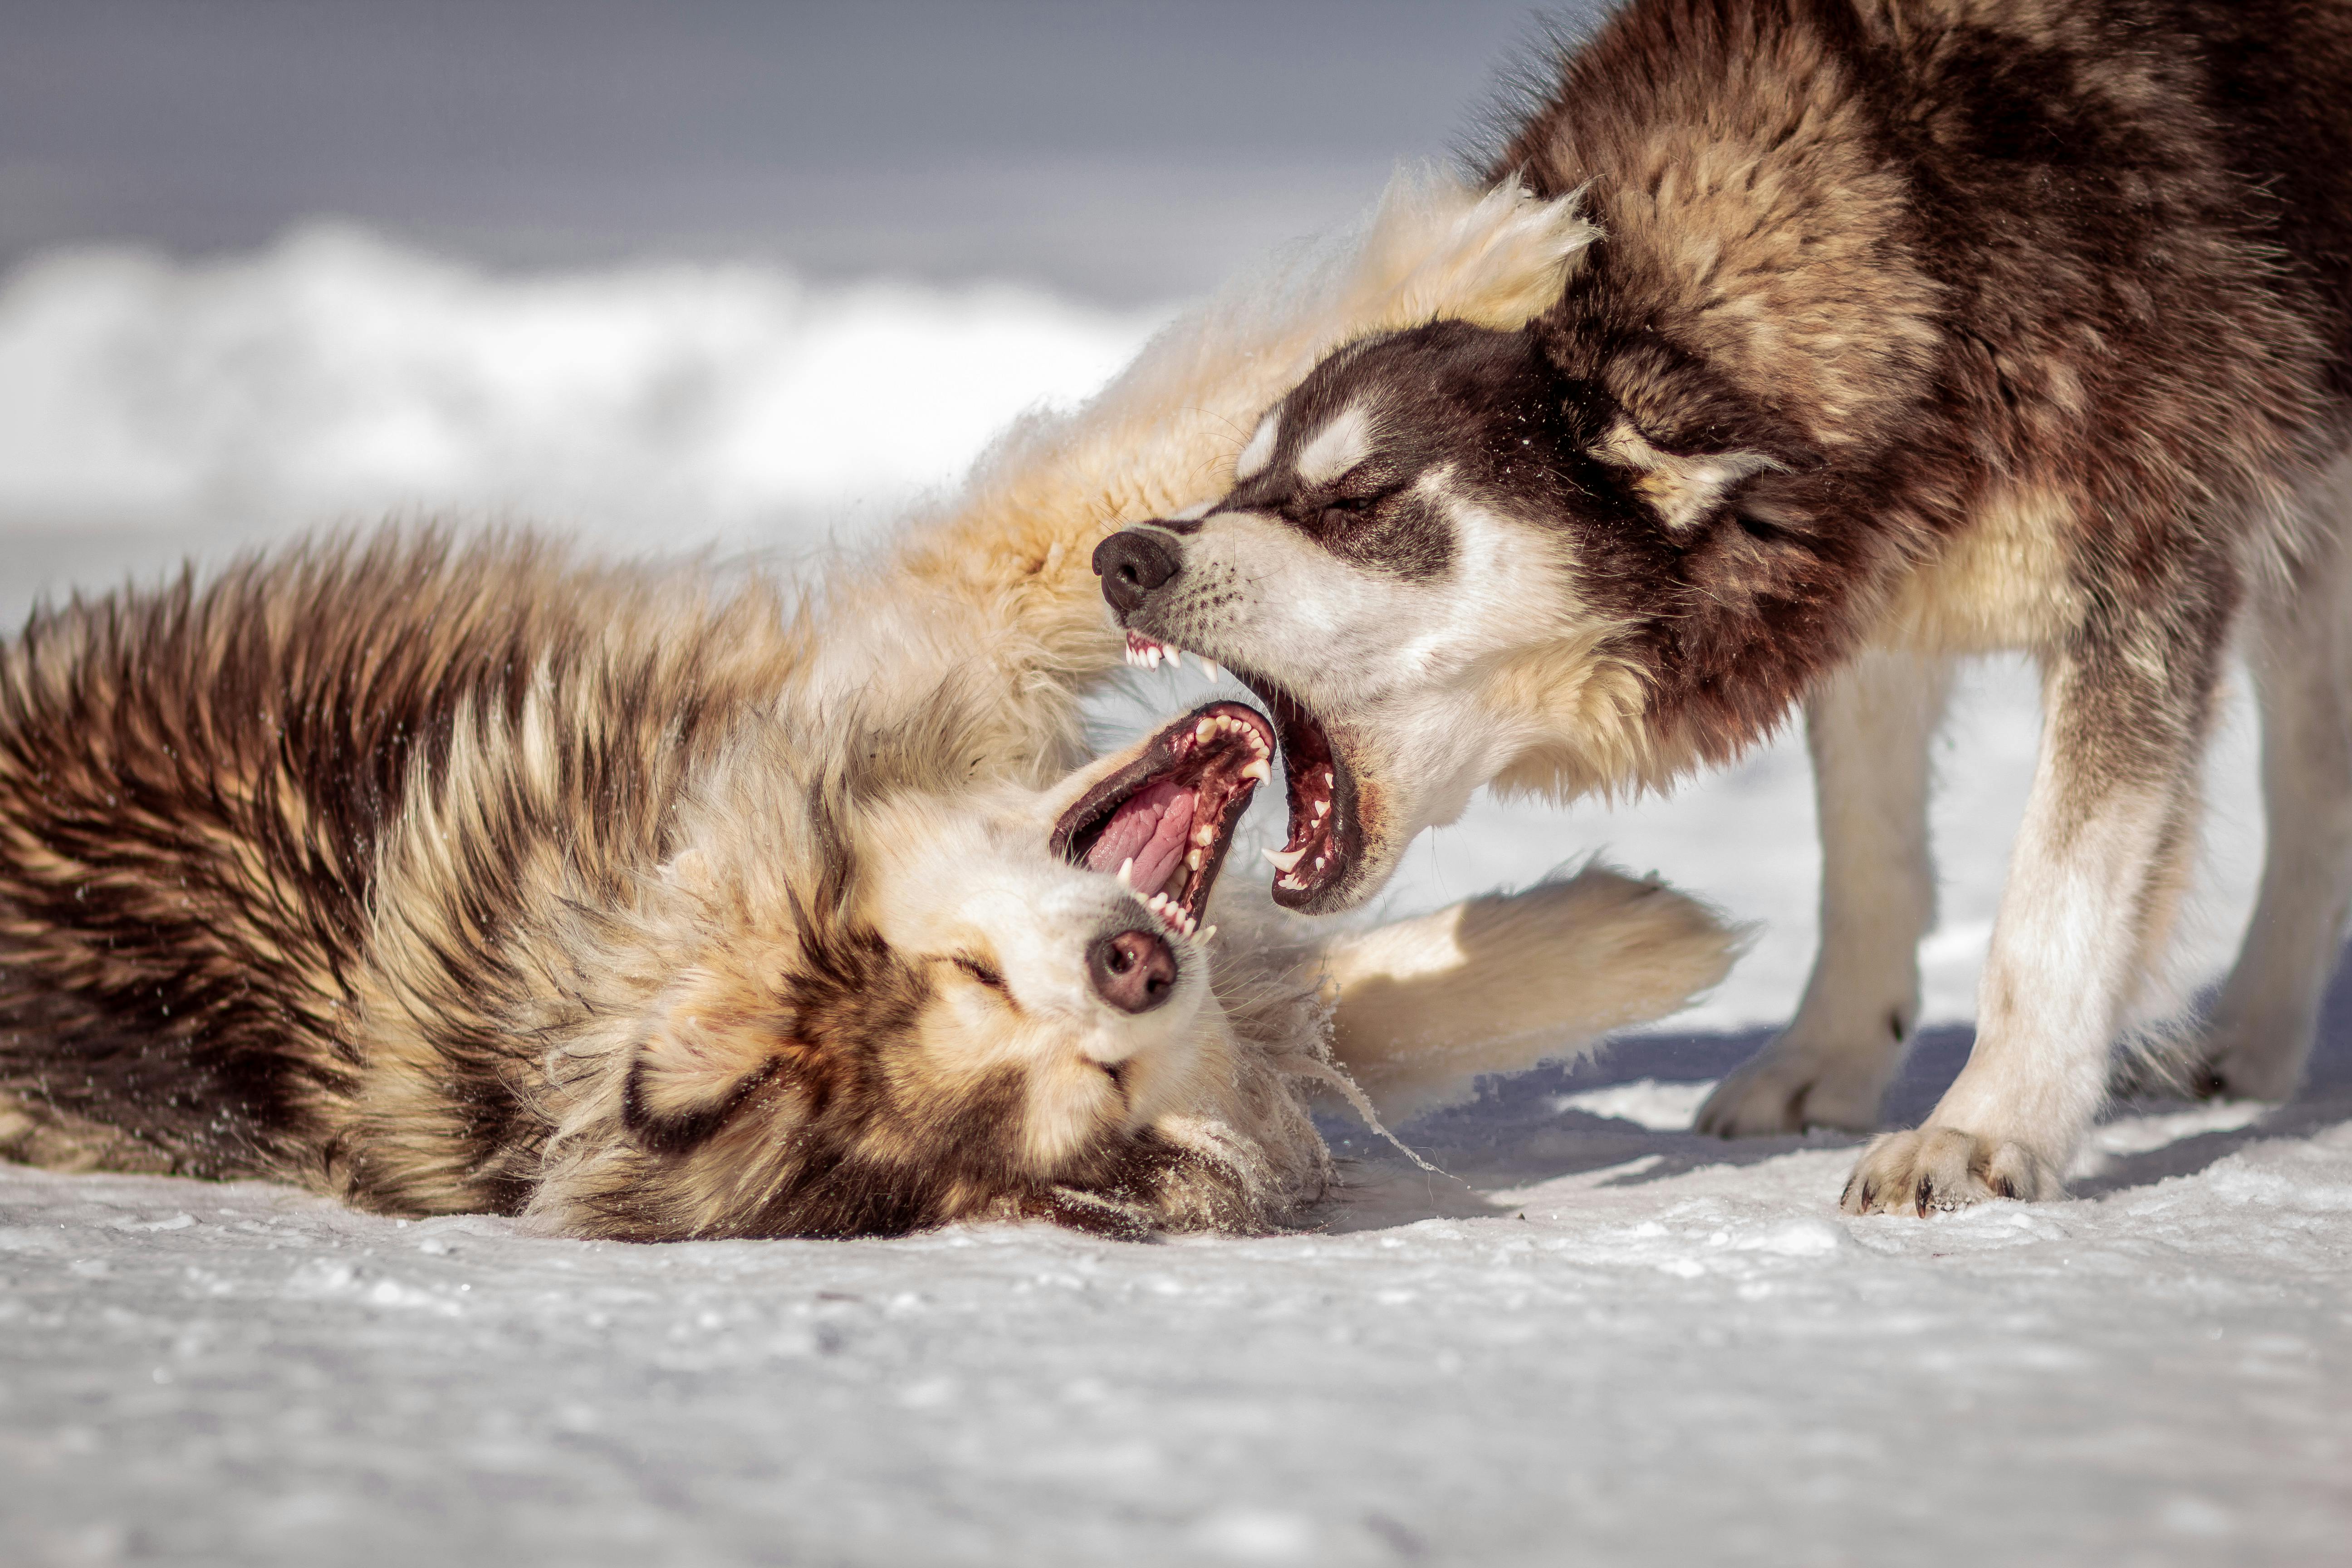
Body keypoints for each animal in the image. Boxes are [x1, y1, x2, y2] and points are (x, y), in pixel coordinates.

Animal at [0, 175, 1731, 1241]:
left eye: (966, 965)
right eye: (1082, 1083)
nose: (1126, 967)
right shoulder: (946, 628)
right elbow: (1326, 1005)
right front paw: (1639, 938)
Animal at [1096, 0, 2352, 1222]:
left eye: (1358, 498)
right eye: (1243, 483)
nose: (1124, 557)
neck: (1926, 222)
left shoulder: (2139, 597)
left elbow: (2053, 907)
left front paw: (1987, 1127)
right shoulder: (1874, 609)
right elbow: (1869, 862)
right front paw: (1831, 1060)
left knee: (2306, 788)